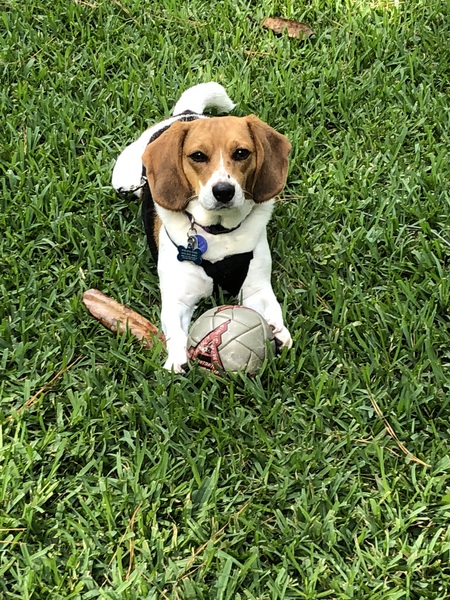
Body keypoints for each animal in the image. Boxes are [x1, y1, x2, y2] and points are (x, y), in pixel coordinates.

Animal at [113, 82, 292, 372]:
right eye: (197, 156)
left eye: (241, 153)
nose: (224, 191)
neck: (218, 232)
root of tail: (186, 114)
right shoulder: (178, 297)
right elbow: (176, 331)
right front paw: (177, 359)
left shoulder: (256, 287)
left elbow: (270, 307)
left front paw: (278, 331)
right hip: (123, 176)